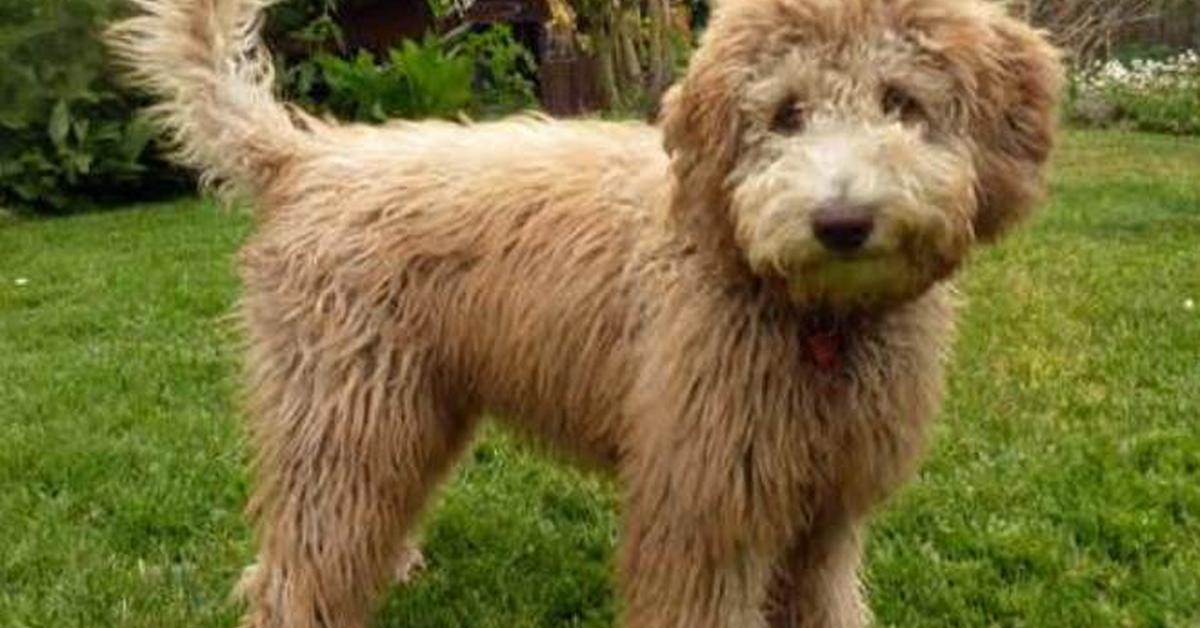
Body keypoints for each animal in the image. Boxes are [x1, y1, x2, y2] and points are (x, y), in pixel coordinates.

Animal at [105, 0, 1060, 624]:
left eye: (903, 100)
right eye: (786, 114)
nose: (842, 222)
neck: (810, 318)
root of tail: (313, 155)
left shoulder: (825, 510)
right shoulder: (704, 500)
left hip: (409, 406)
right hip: (345, 410)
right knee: (299, 560)